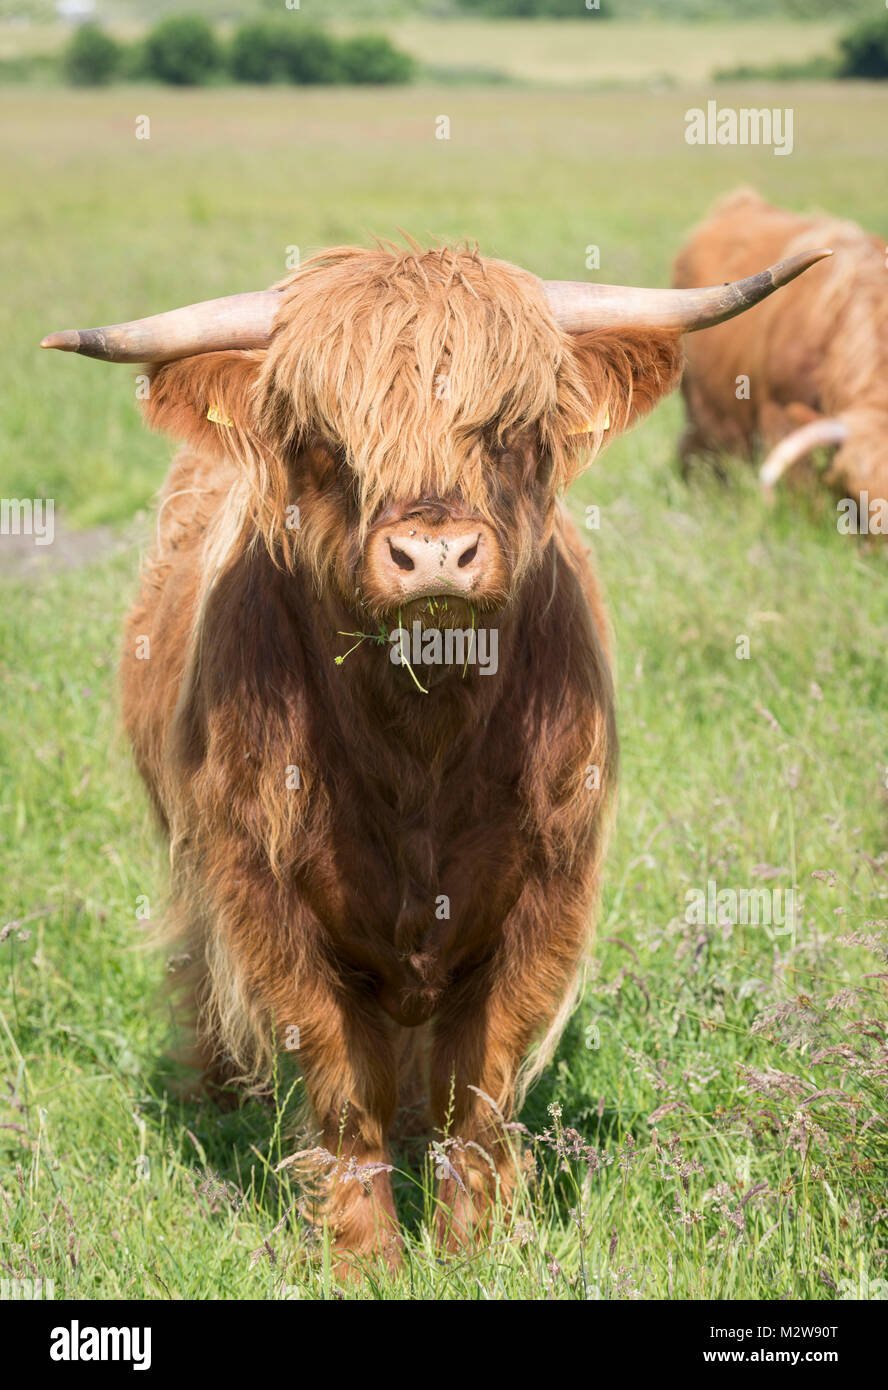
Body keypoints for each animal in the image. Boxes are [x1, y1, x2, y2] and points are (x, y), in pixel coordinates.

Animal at [39, 241, 822, 1273]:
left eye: (507, 430)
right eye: (327, 440)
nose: (435, 554)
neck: (420, 737)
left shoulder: (549, 890)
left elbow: (477, 1085)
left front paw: (474, 1244)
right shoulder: (264, 893)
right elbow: (342, 1085)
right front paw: (364, 1254)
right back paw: (217, 1088)